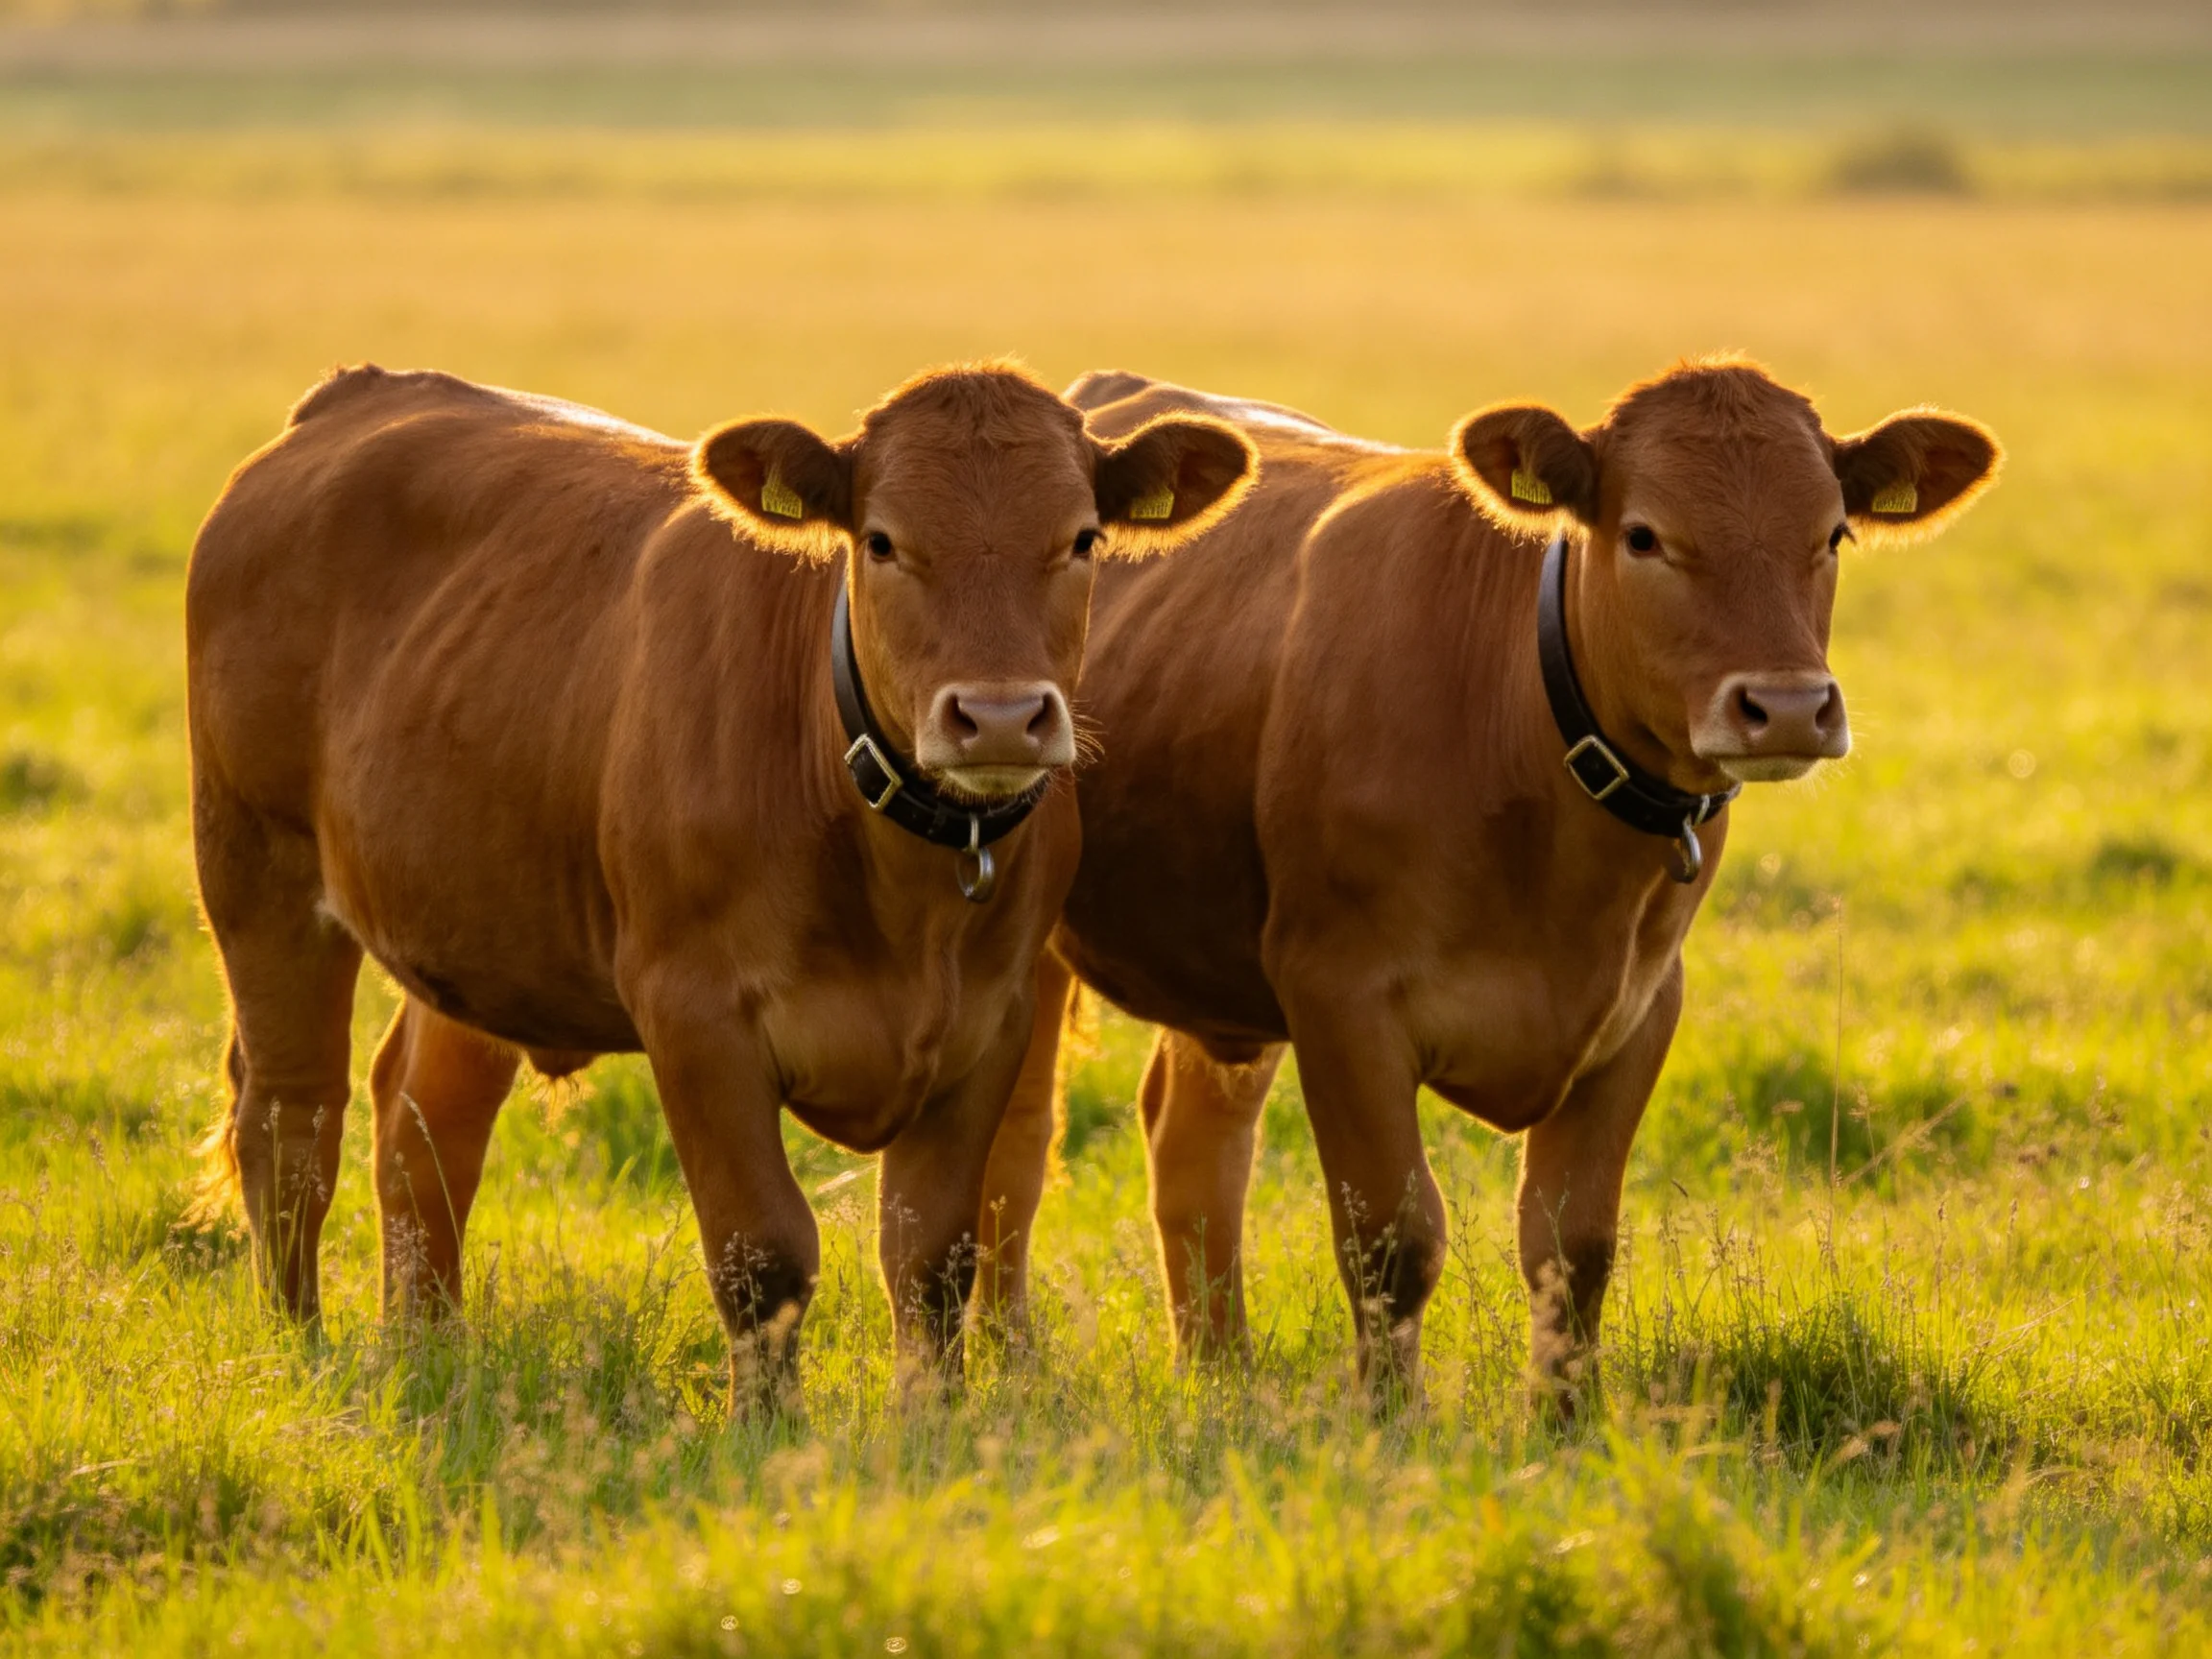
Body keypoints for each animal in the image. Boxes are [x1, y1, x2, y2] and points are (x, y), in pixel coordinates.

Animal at [184, 360, 1254, 1401]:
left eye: (1082, 538)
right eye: (881, 541)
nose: (997, 718)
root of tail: (359, 391)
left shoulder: (995, 1020)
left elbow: (933, 1258)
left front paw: (934, 1425)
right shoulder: (695, 1016)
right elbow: (763, 1254)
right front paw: (766, 1430)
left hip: (475, 923)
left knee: (425, 1121)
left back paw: (428, 1347)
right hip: (257, 870)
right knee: (288, 1119)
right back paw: (298, 1349)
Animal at [972, 357, 1999, 1413]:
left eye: (1832, 533)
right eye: (1644, 536)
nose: (1787, 706)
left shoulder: (1641, 1009)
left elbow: (1573, 1244)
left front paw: (1565, 1420)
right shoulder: (1339, 996)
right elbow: (1391, 1237)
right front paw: (1390, 1420)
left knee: (1194, 1144)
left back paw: (1223, 1378)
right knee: (1021, 1143)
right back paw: (1011, 1357)